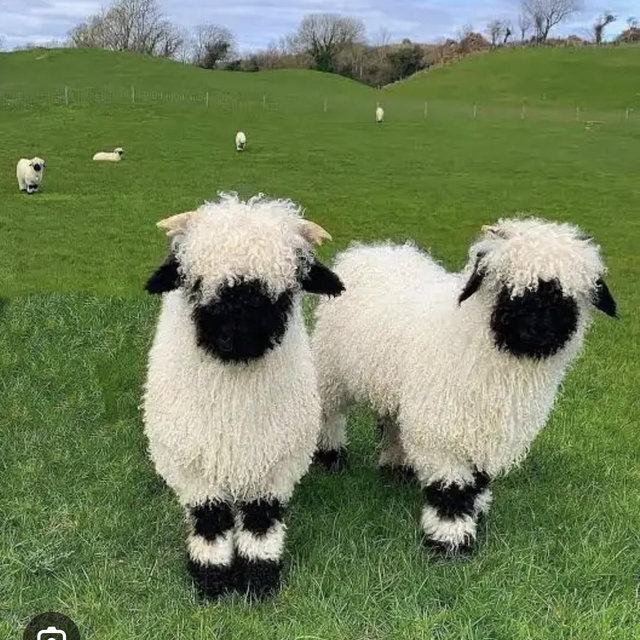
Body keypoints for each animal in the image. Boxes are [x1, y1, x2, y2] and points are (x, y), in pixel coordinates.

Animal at [143, 193, 344, 600]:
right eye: (195, 284)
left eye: (286, 289)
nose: (236, 339)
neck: (234, 410)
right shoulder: (194, 466)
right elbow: (209, 519)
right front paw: (211, 579)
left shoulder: (276, 464)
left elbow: (260, 521)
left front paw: (258, 579)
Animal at [312, 218, 617, 555]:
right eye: (505, 286)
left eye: (564, 295)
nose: (535, 330)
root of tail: (377, 250)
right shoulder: (444, 429)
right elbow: (452, 489)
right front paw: (450, 541)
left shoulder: (483, 430)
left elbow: (478, 479)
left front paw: (477, 509)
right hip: (332, 371)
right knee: (331, 414)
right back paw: (331, 457)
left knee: (394, 423)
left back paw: (397, 466)